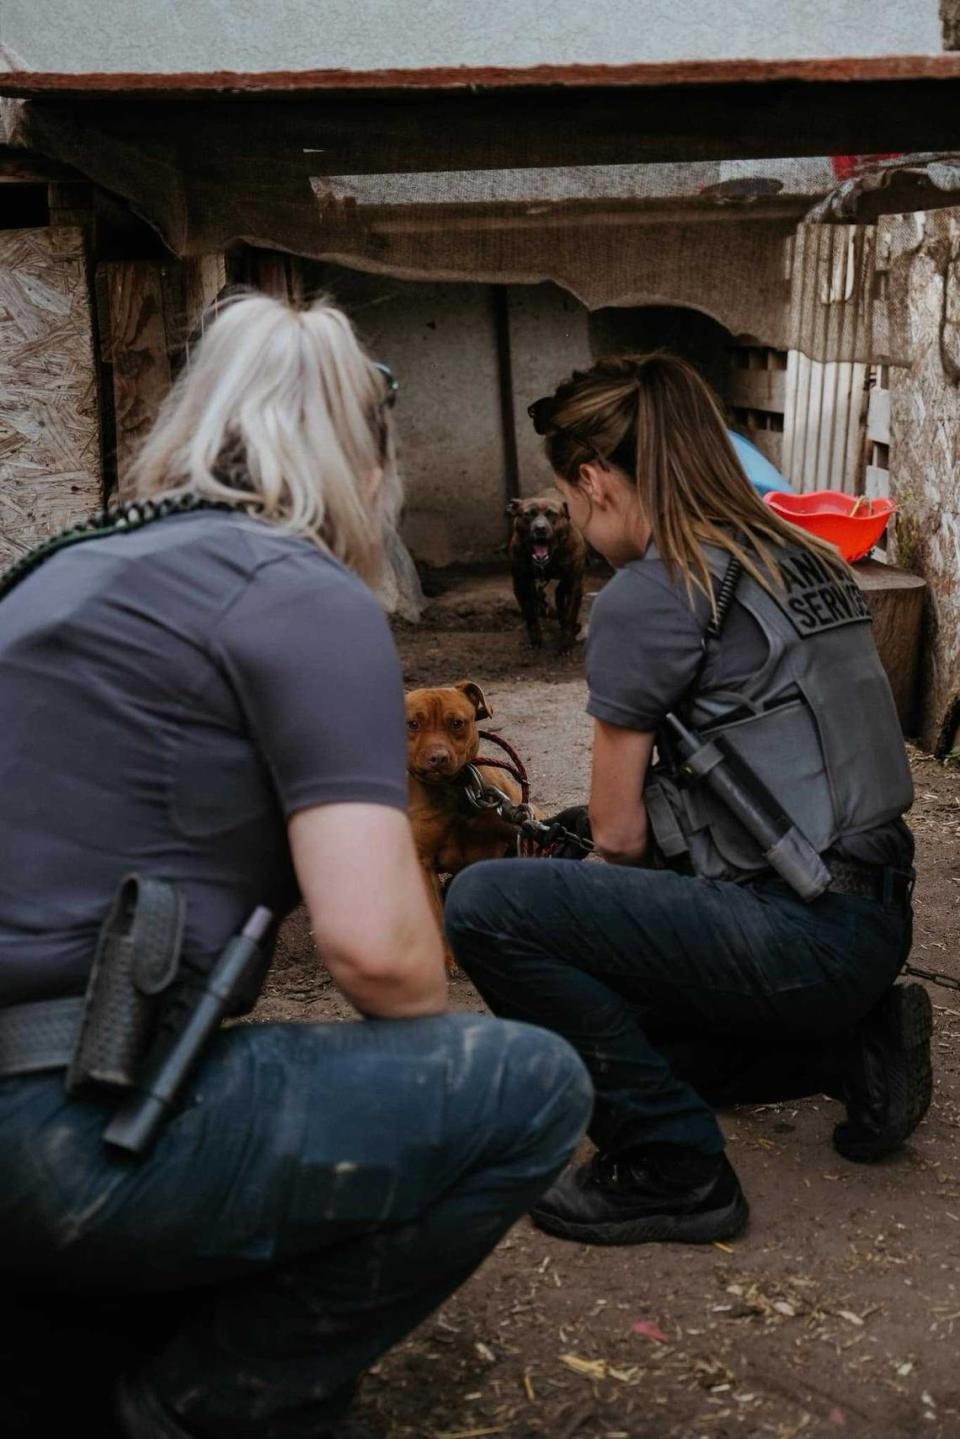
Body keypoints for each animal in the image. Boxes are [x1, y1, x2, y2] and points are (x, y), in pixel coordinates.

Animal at [402, 679, 529, 972]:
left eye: (457, 723)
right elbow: (436, 916)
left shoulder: (516, 824)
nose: (438, 757)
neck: (452, 790)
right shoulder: (423, 864)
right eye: (412, 724)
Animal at [506, 492, 590, 656]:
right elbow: (530, 615)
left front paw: (565, 644)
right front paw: (535, 640)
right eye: (528, 514)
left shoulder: (575, 583)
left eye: (552, 514)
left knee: (560, 593)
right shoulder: (520, 584)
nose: (540, 528)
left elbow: (570, 616)